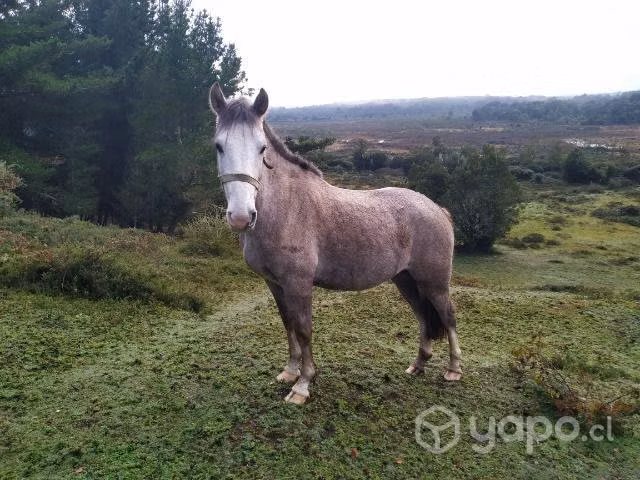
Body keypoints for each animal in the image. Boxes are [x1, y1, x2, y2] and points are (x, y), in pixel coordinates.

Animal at [208, 82, 462, 404]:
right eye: (219, 146)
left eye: (261, 148)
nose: (241, 217)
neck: (286, 207)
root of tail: (436, 208)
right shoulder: (274, 283)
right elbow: (287, 323)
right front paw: (289, 371)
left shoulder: (298, 283)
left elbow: (304, 329)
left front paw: (303, 385)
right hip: (406, 280)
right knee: (423, 317)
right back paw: (417, 365)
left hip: (434, 282)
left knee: (448, 315)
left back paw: (454, 369)